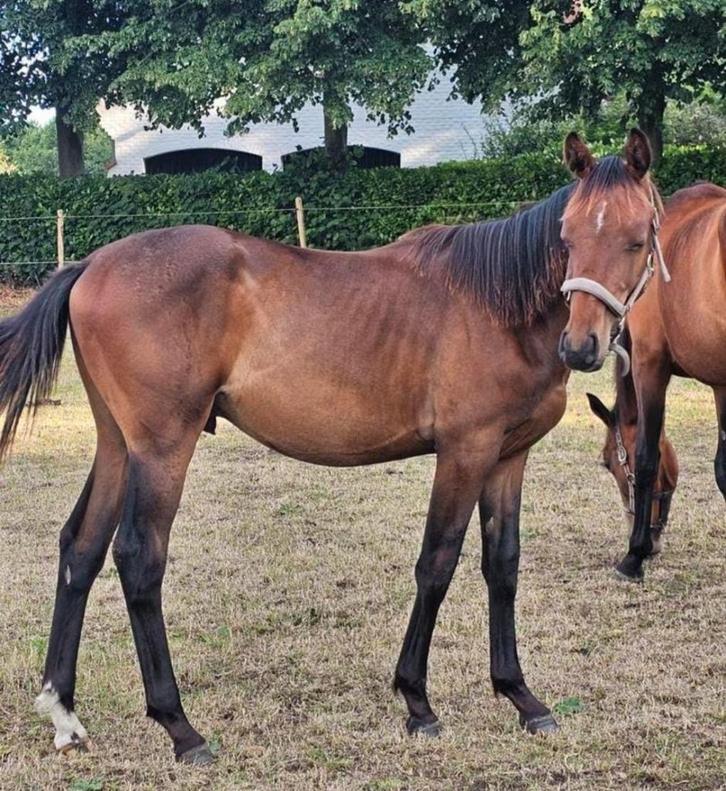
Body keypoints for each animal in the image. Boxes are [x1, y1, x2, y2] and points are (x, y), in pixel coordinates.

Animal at [559, 130, 726, 580]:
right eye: (567, 239)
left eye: (609, 463)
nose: (579, 346)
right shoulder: (721, 384)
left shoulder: (650, 366)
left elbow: (649, 457)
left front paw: (634, 554)